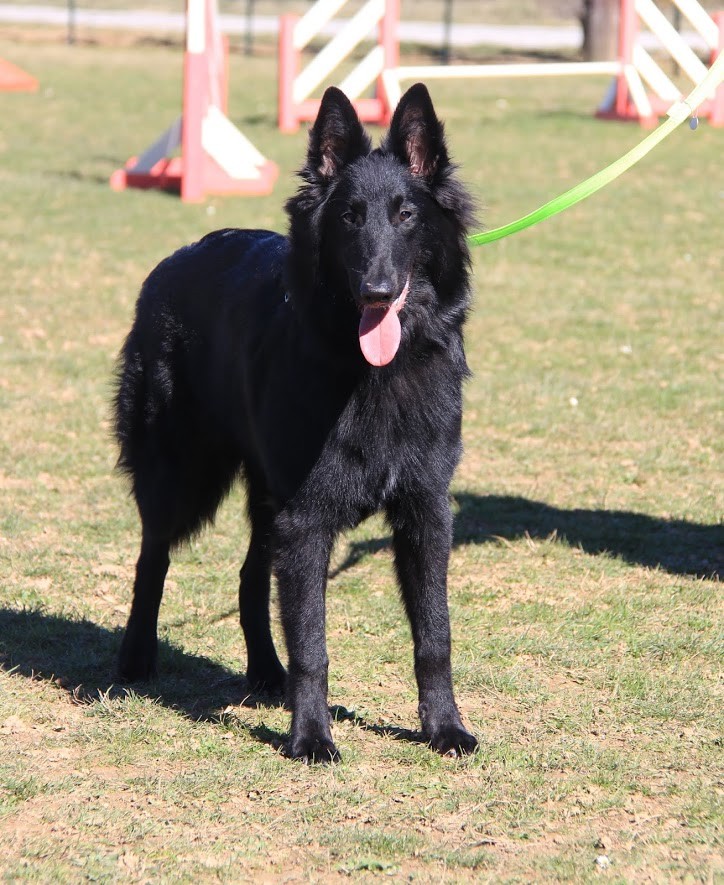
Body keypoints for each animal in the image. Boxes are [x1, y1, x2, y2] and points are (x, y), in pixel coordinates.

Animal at [113, 81, 478, 760]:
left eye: (406, 216)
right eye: (349, 218)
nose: (376, 291)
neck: (369, 372)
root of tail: (174, 260)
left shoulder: (423, 513)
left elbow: (434, 636)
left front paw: (444, 728)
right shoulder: (307, 522)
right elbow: (313, 645)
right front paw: (310, 737)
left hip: (265, 501)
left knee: (249, 576)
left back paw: (264, 673)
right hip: (181, 475)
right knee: (153, 560)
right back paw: (136, 659)